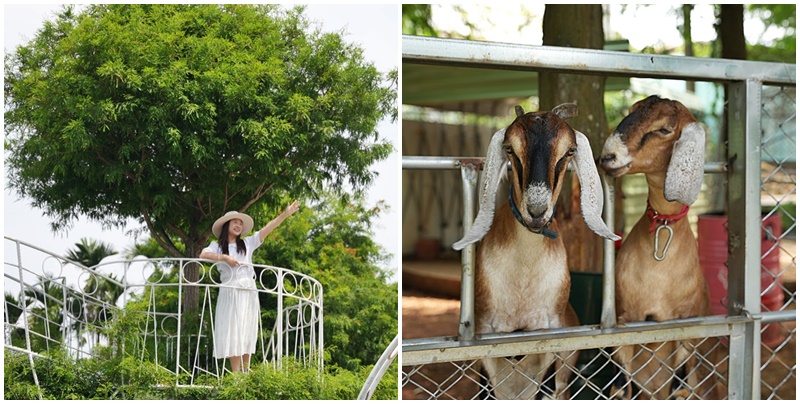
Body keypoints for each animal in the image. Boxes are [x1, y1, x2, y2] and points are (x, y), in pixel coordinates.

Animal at [456, 102, 620, 400]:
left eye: (570, 150)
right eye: (509, 148)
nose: (536, 211)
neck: (523, 287)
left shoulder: (555, 339)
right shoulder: (485, 341)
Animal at [600, 95, 724, 400]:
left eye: (664, 129)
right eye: (631, 111)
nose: (609, 157)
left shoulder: (684, 326)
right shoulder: (624, 322)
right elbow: (624, 383)